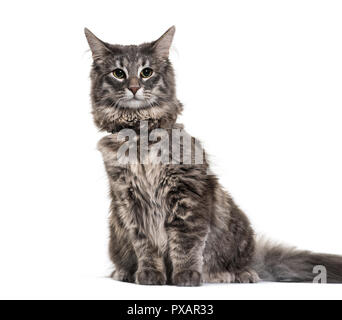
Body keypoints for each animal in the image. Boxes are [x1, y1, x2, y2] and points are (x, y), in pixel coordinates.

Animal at [85, 25, 342, 284]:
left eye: (146, 72)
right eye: (119, 73)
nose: (134, 87)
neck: (140, 134)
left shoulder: (188, 191)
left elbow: (186, 242)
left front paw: (187, 276)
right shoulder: (129, 200)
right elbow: (145, 244)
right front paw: (150, 274)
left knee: (240, 262)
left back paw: (236, 274)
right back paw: (124, 273)